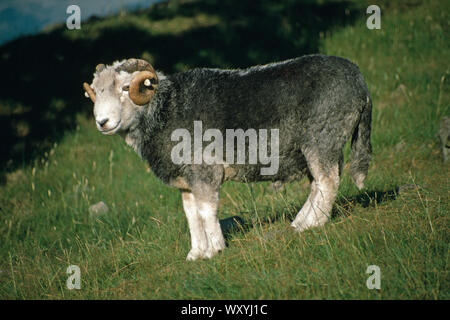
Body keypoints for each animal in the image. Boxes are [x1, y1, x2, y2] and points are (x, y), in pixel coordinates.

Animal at [82, 55, 370, 260]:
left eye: (125, 88)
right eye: (96, 91)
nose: (102, 122)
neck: (165, 111)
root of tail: (360, 81)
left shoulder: (204, 171)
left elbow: (206, 211)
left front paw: (216, 249)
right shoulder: (186, 181)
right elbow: (191, 215)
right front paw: (196, 253)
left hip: (321, 139)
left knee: (328, 181)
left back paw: (315, 224)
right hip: (316, 147)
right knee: (318, 183)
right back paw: (299, 224)